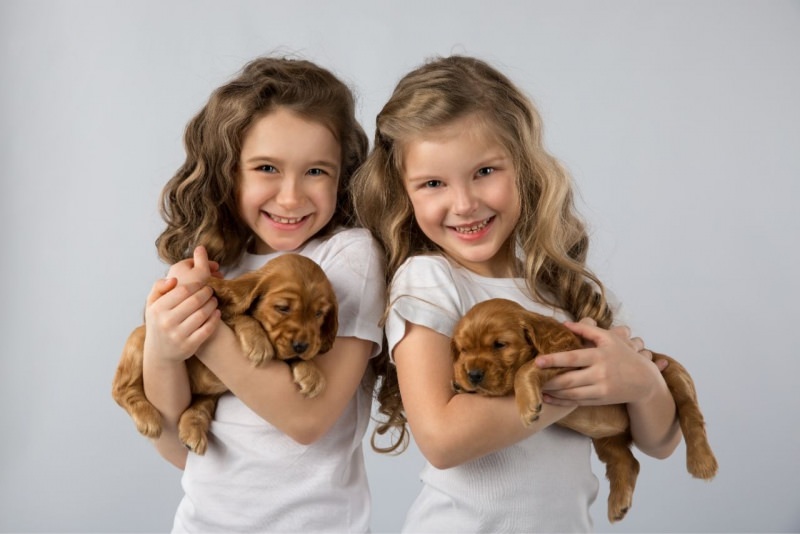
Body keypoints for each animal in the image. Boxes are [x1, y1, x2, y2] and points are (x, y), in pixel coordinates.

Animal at [112, 255, 338, 456]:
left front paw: (311, 373)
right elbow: (240, 316)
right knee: (120, 389)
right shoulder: (220, 311)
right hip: (142, 338)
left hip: (209, 395)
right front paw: (258, 343)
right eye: (282, 308)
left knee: (198, 408)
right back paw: (148, 419)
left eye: (319, 314)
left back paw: (192, 432)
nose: (302, 346)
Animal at [450, 300, 720, 524]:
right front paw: (458, 379)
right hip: (606, 437)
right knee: (627, 461)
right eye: (463, 349)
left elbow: (525, 368)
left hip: (674, 378)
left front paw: (527, 406)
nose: (473, 375)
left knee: (692, 416)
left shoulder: (567, 357)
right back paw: (618, 504)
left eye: (499, 345)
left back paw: (702, 462)